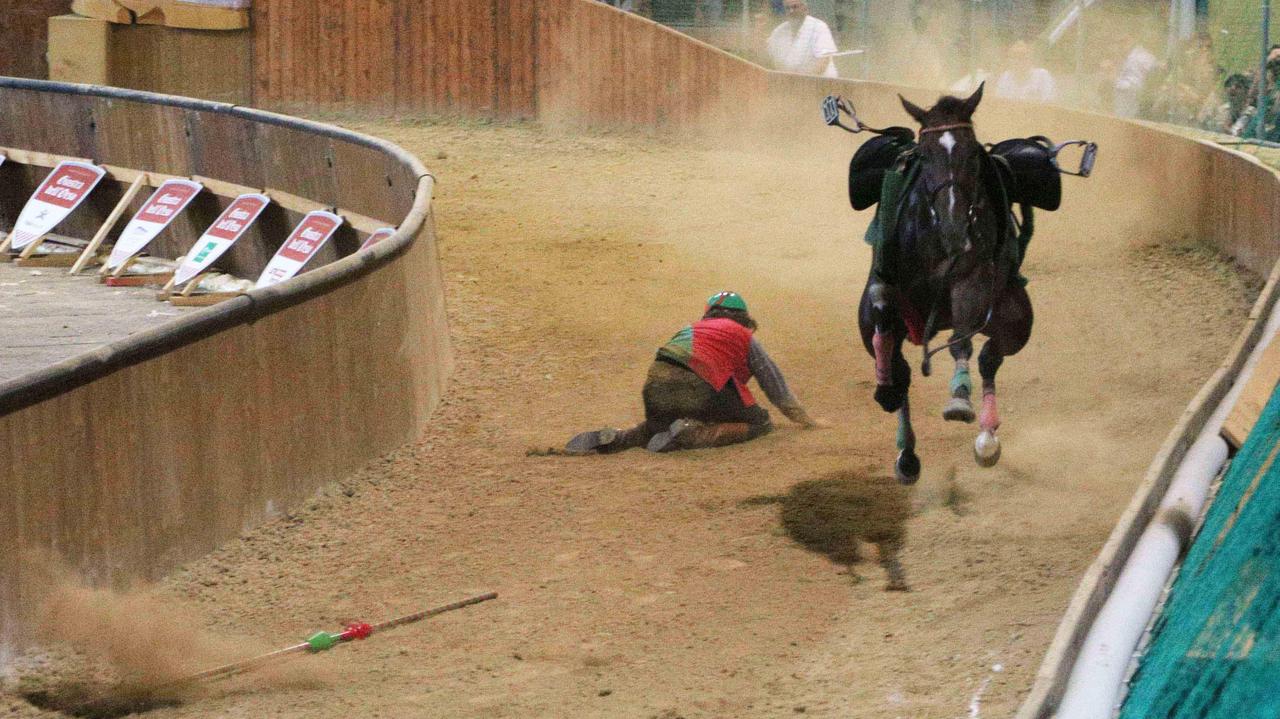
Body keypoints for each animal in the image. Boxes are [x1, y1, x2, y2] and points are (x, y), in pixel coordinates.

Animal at [856, 83, 1033, 484]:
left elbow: (962, 341)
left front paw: (959, 397)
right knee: (902, 370)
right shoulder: (888, 286)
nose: (954, 224)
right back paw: (906, 452)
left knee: (989, 357)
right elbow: (881, 304)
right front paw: (886, 390)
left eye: (972, 153)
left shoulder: (970, 279)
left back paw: (986, 437)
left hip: (1016, 320)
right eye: (924, 155)